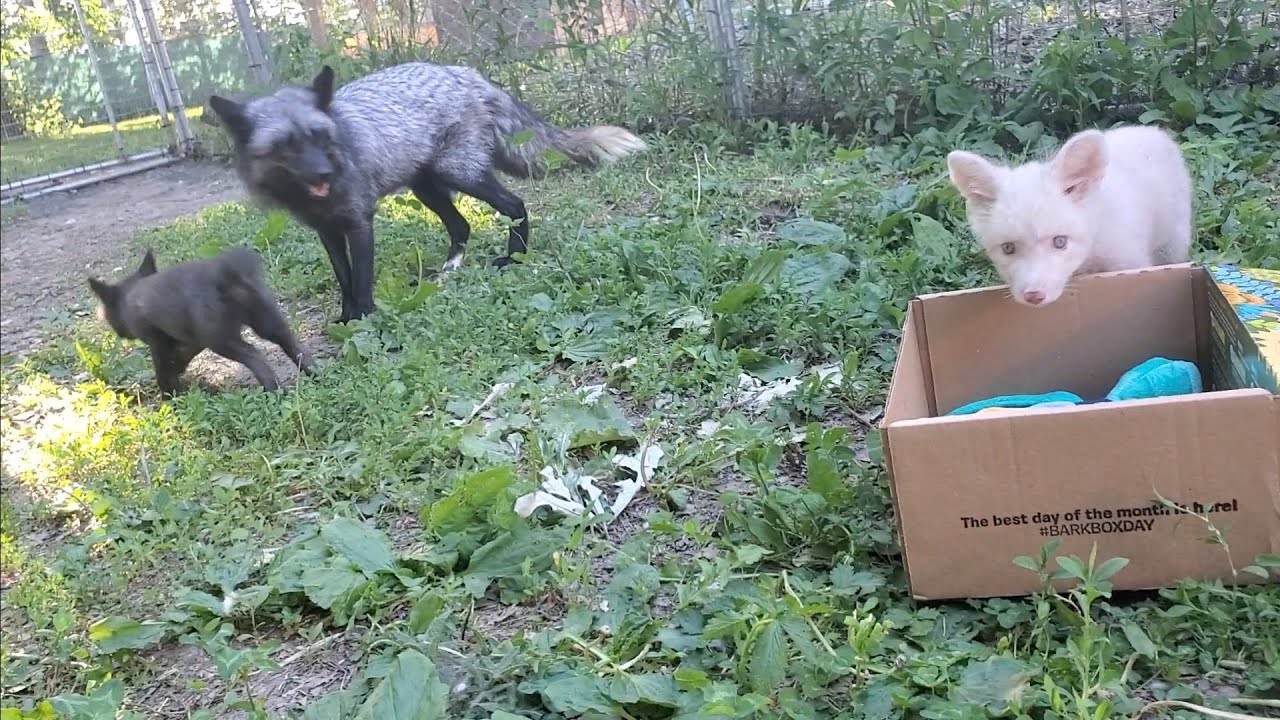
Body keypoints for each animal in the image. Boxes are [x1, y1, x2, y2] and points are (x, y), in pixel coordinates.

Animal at [87, 247, 315, 396]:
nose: (119, 333)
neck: (131, 295)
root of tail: (223, 275)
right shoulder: (192, 337)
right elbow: (183, 355)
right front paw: (178, 374)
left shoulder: (157, 340)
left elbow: (162, 365)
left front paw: (169, 393)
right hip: (267, 320)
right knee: (292, 344)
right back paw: (315, 373)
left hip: (222, 340)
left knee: (254, 354)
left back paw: (275, 391)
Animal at [206, 62, 649, 323]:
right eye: (286, 146)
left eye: (319, 136)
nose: (324, 171)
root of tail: (466, 72)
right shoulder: (327, 231)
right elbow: (344, 279)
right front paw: (347, 317)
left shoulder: (359, 222)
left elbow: (361, 281)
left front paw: (363, 322)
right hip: (427, 188)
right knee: (462, 227)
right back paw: (451, 268)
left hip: (460, 173)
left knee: (516, 204)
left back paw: (514, 257)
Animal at [945, 124, 1194, 307]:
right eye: (1008, 248)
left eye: (1060, 242)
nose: (1033, 296)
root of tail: (1153, 130)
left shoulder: (1131, 263)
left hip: (1174, 240)